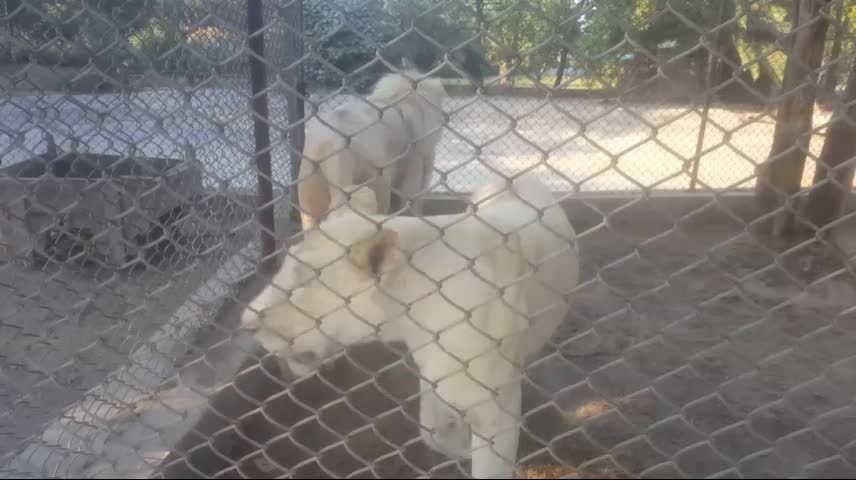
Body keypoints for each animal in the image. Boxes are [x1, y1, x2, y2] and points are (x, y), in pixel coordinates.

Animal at [242, 175, 580, 476]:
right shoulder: (433, 373)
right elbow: (430, 431)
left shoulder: (496, 413)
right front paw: (459, 446)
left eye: (302, 281)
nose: (246, 322)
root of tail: (518, 180)